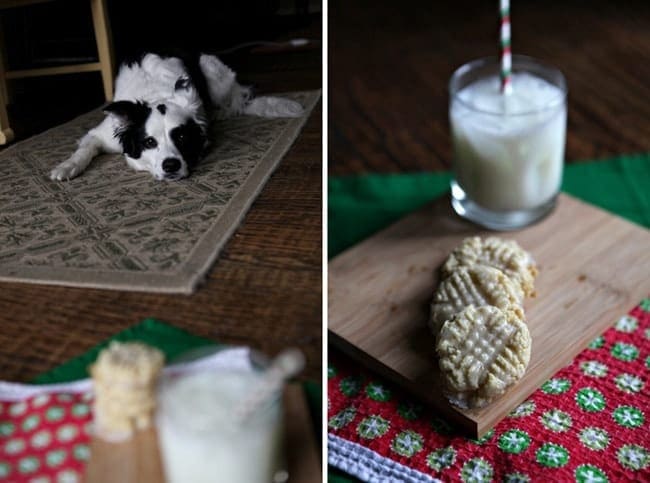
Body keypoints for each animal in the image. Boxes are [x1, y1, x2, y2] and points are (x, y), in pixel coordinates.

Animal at [49, 53, 302, 182]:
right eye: (149, 142)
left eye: (181, 137)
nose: (171, 165)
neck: (155, 94)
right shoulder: (101, 134)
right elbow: (84, 149)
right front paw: (67, 166)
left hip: (211, 70)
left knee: (235, 103)